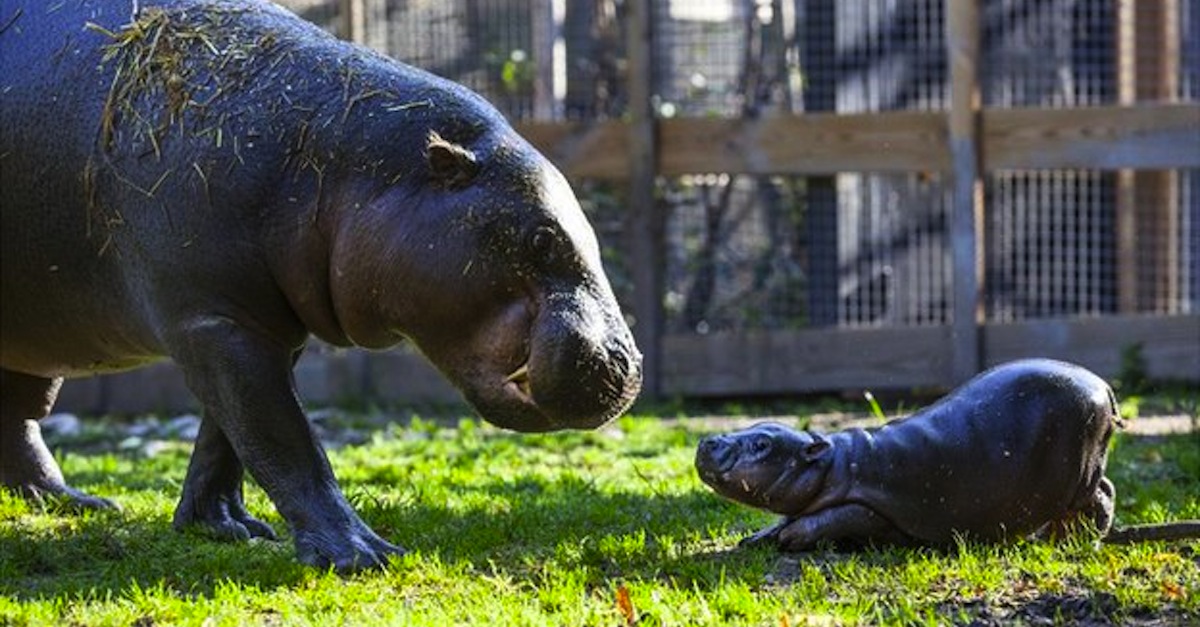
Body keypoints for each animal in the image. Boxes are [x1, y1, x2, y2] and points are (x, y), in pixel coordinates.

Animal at [2, 0, 648, 571]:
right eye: (541, 238)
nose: (627, 362)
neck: (333, 163)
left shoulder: (260, 326)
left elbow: (227, 438)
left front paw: (225, 527)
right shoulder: (218, 322)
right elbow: (286, 439)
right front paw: (365, 555)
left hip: (38, 339)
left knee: (21, 418)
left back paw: (74, 504)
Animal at [696, 357, 1200, 550]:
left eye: (762, 444)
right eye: (754, 428)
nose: (707, 441)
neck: (834, 461)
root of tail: (1106, 389)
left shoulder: (874, 506)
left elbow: (833, 517)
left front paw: (790, 538)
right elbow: (785, 514)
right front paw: (756, 537)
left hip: (1081, 474)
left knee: (1104, 496)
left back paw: (1075, 541)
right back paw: (1053, 537)